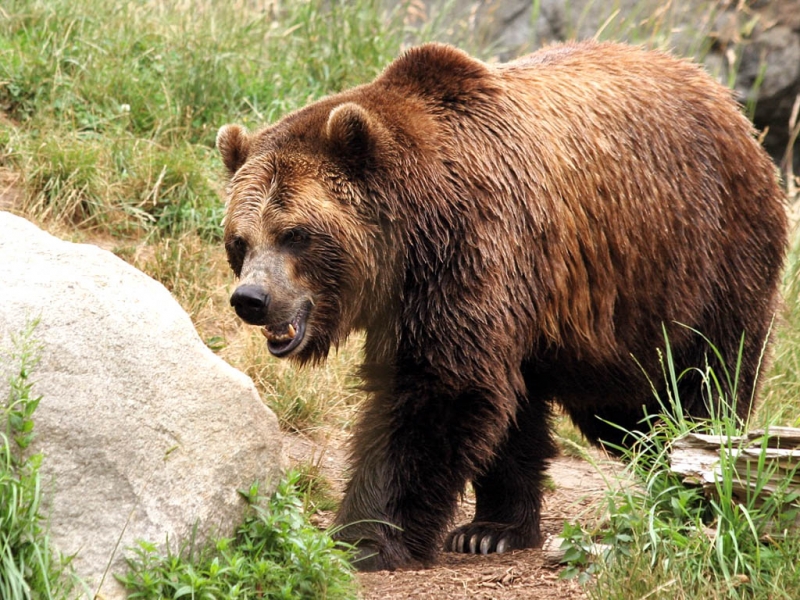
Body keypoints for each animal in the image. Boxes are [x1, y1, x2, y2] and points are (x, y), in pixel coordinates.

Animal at [216, 39, 784, 568]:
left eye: (295, 234)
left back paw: (697, 483)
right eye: (240, 240)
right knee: (617, 413)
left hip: (700, 258)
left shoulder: (471, 248)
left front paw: (365, 537)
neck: (413, 231)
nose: (252, 299)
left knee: (700, 381)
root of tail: (726, 101)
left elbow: (437, 389)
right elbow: (492, 403)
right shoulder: (482, 291)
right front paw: (481, 530)